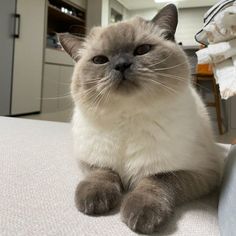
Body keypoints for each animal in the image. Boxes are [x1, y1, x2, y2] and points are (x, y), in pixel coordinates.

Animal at [58, 3, 223, 234]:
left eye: (142, 50)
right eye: (100, 60)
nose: (121, 65)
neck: (128, 117)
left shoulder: (200, 172)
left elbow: (157, 179)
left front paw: (140, 214)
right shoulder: (90, 160)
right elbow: (103, 173)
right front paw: (92, 200)